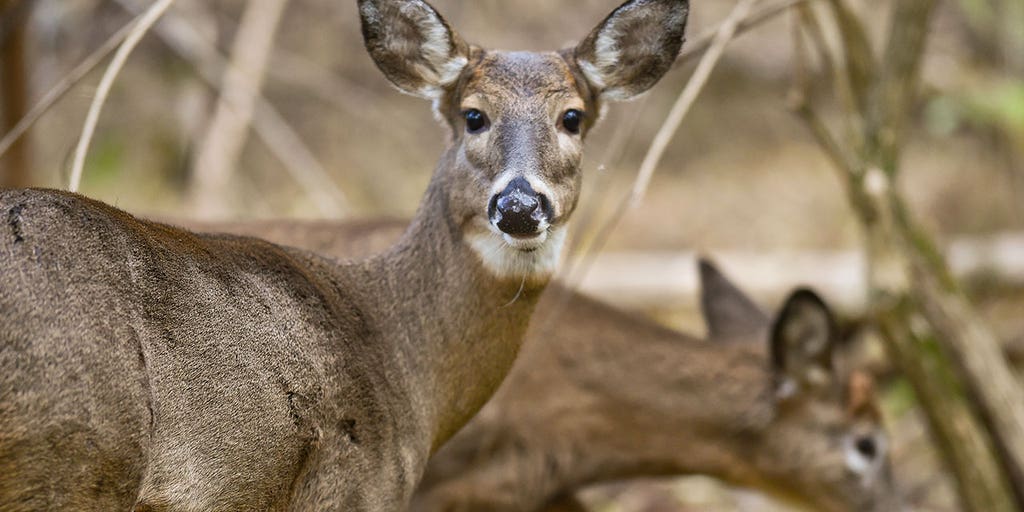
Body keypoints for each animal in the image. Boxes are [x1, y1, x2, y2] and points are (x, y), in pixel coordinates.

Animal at [0, 0, 688, 510]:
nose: (519, 205)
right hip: (69, 458)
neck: (399, 357)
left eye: (572, 117)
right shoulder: (352, 490)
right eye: (473, 115)